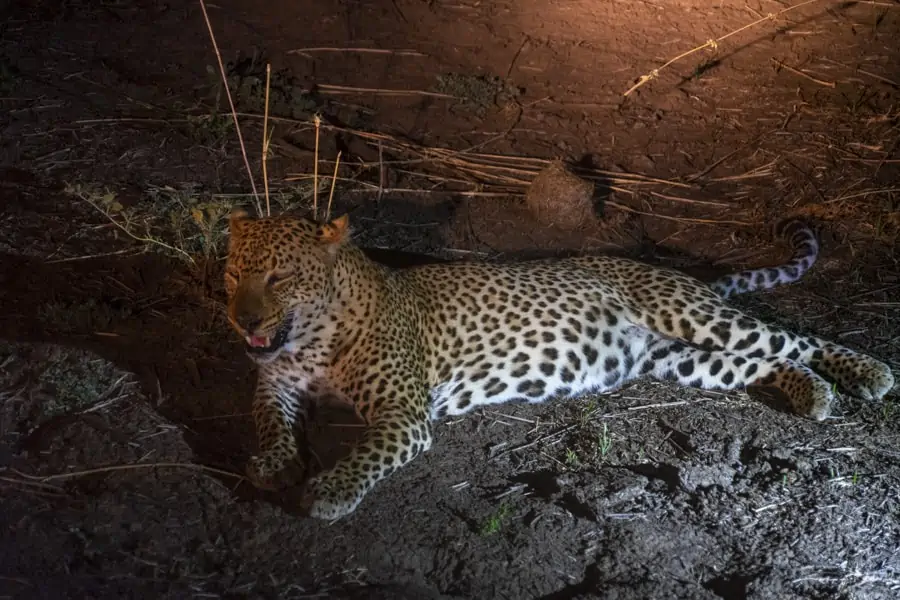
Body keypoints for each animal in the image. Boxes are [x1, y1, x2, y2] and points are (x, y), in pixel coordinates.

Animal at [223, 210, 892, 520]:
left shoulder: (402, 415)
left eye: (279, 278)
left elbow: (365, 452)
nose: (242, 321)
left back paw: (867, 373)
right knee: (753, 364)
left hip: (694, 316)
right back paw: (811, 393)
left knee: (793, 339)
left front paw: (330, 490)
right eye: (232, 275)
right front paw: (273, 462)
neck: (308, 339)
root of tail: (687, 278)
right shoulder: (273, 385)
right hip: (679, 359)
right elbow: (267, 420)